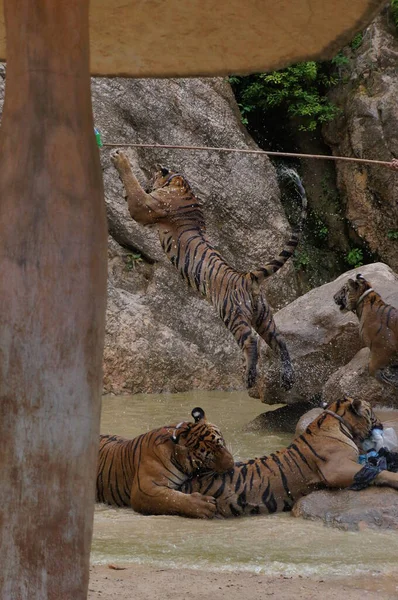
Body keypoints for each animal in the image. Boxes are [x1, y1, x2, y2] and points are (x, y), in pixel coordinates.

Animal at [95, 406, 235, 516]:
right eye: (209, 458)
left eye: (221, 444)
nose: (232, 465)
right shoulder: (143, 490)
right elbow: (173, 499)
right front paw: (205, 505)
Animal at [111, 150, 308, 390]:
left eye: (152, 177)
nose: (149, 184)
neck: (179, 181)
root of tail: (247, 277)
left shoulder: (145, 206)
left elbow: (133, 188)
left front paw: (119, 159)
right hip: (264, 317)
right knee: (280, 340)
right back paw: (287, 378)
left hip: (232, 314)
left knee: (251, 341)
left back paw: (250, 377)